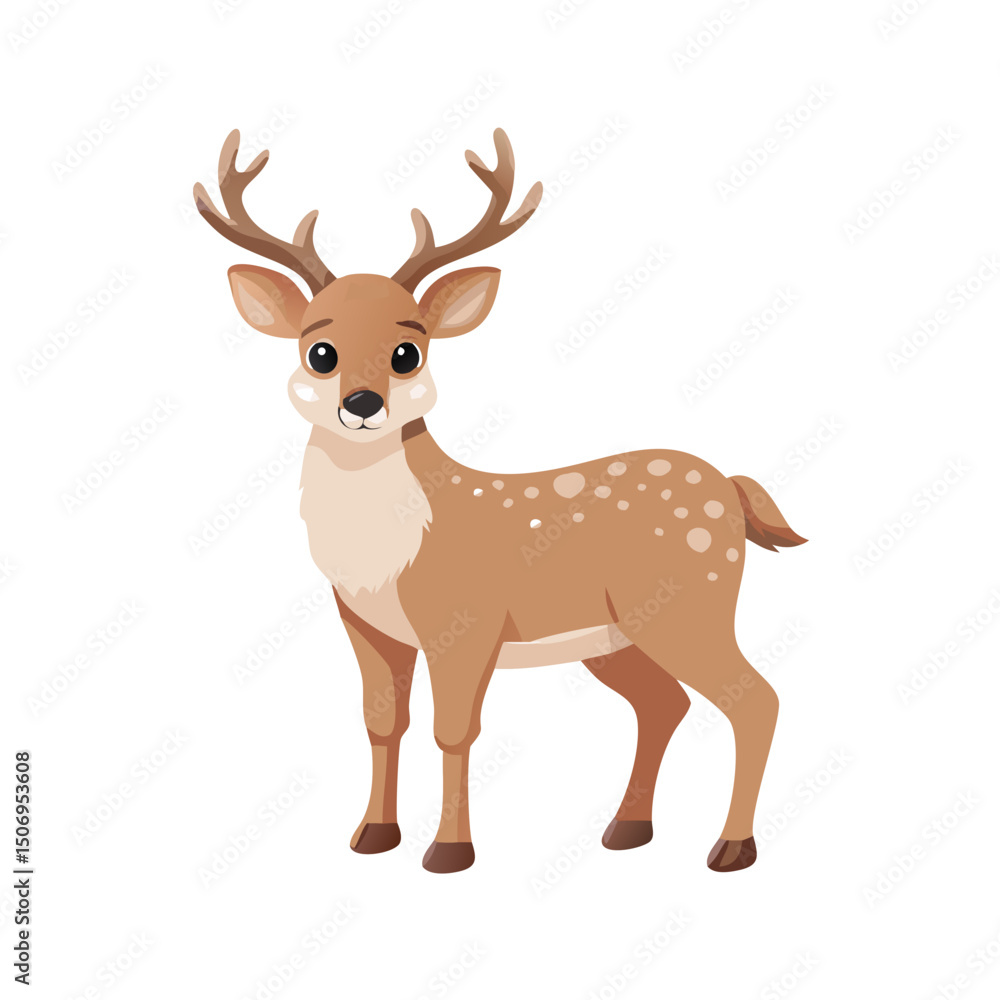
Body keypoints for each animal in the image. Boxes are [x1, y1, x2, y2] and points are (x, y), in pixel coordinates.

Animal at [194, 128, 807, 875]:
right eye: (320, 350)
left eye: (407, 351)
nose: (361, 404)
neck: (383, 556)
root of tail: (730, 489)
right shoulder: (364, 624)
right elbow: (382, 724)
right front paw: (372, 836)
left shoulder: (467, 620)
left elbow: (454, 730)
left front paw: (448, 851)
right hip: (616, 636)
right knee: (665, 704)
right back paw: (626, 829)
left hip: (690, 600)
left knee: (756, 699)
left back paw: (731, 848)